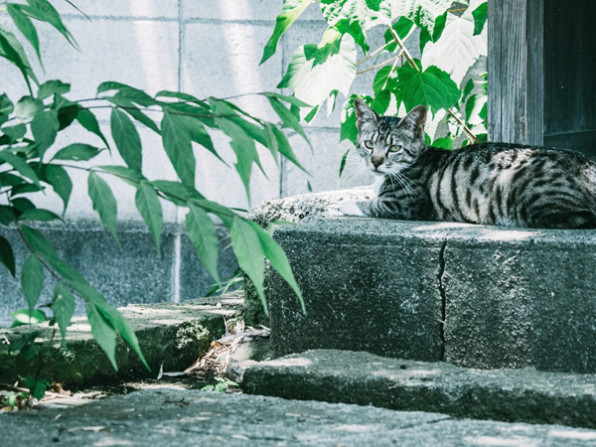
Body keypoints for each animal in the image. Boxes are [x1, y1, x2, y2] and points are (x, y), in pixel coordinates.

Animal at [340, 100, 596, 229]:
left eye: (394, 148)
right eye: (369, 144)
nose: (375, 162)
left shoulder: (405, 204)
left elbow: (369, 204)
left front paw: (345, 204)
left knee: (581, 218)